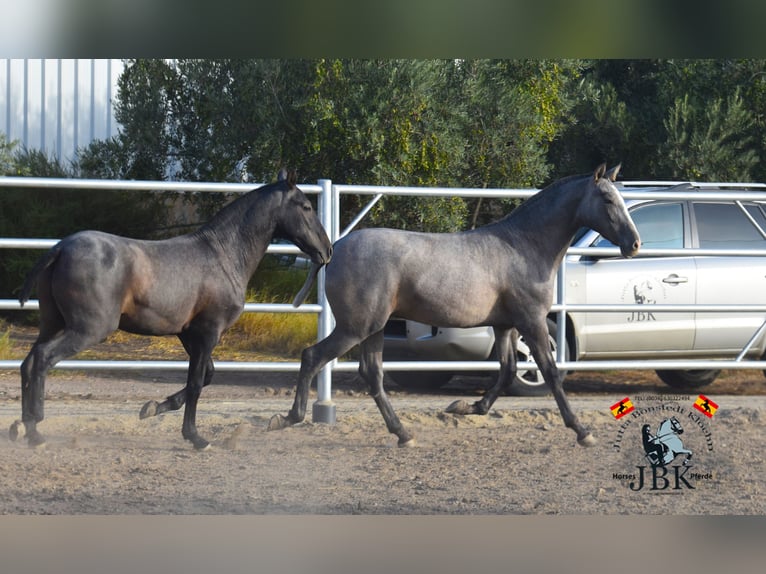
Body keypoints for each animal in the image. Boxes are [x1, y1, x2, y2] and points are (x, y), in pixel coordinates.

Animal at [12, 171, 332, 450]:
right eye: (305, 207)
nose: (326, 251)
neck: (223, 255)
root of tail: (61, 249)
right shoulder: (208, 331)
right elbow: (196, 383)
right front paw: (196, 437)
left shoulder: (188, 333)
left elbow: (206, 376)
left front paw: (153, 408)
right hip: (88, 328)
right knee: (43, 359)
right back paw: (35, 431)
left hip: (52, 323)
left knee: (29, 361)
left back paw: (23, 426)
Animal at [272, 164, 640, 448]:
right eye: (608, 199)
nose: (634, 244)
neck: (523, 247)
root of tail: (334, 251)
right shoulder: (532, 321)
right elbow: (549, 372)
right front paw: (582, 431)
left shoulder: (504, 325)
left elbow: (507, 371)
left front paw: (464, 407)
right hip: (356, 327)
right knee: (313, 357)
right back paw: (289, 418)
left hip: (373, 329)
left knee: (372, 375)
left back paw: (403, 434)